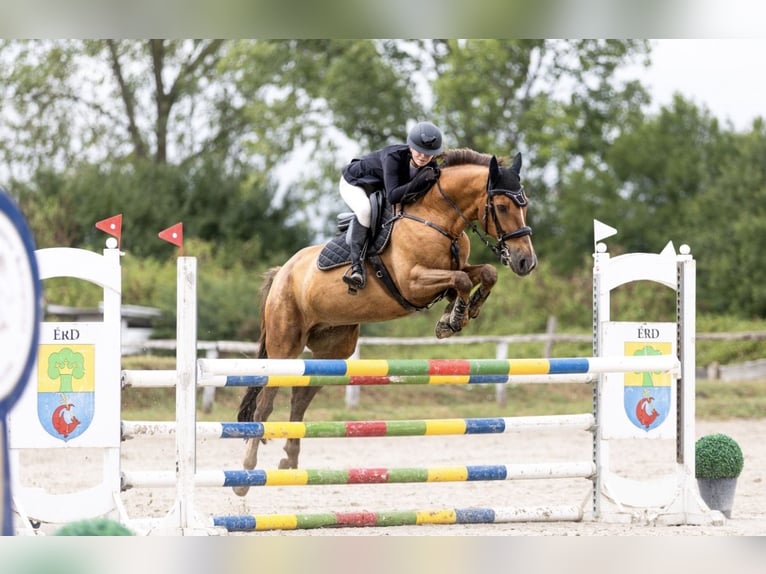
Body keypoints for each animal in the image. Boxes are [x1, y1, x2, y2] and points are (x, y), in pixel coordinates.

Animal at [233, 148, 537, 496]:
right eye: (501, 207)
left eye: (525, 203)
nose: (526, 262)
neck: (438, 218)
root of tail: (282, 272)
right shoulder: (413, 283)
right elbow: (460, 279)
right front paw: (454, 317)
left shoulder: (452, 270)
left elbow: (484, 273)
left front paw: (461, 312)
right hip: (284, 345)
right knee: (265, 404)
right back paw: (246, 473)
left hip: (333, 349)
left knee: (300, 396)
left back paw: (290, 461)